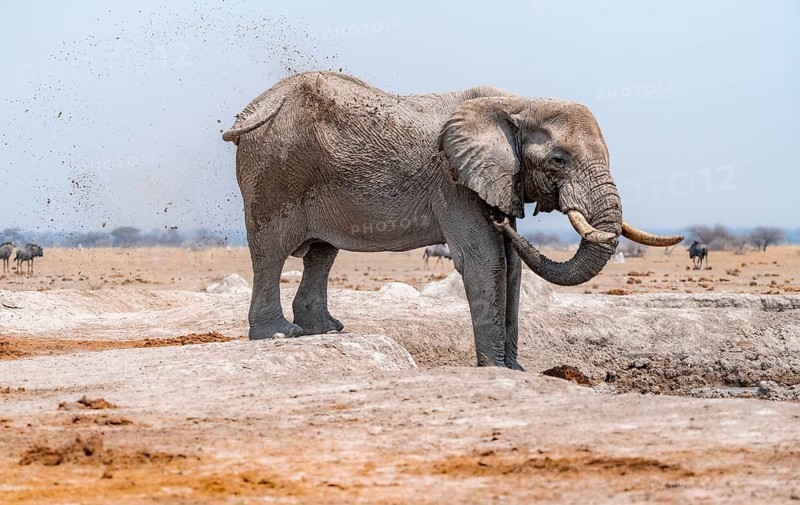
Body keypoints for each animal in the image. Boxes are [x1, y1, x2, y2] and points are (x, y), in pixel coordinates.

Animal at [222, 71, 682, 369]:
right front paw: (494, 370)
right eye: (558, 160)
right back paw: (279, 335)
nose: (506, 222)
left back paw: (326, 331)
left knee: (322, 253)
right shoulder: (453, 181)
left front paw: (515, 371)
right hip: (275, 170)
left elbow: (511, 266)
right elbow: (486, 259)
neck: (520, 103)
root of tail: (255, 109)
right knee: (271, 251)